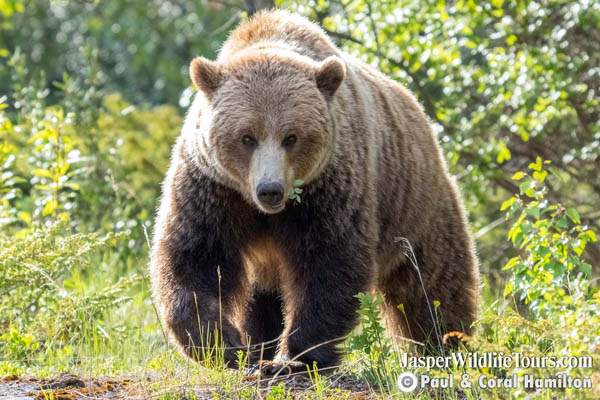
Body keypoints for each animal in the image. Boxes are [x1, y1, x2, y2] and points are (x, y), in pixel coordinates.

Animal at [150, 9, 478, 374]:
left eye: (291, 137)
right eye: (247, 137)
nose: (270, 190)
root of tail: (420, 112)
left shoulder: (329, 189)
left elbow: (328, 264)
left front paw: (298, 356)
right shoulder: (213, 189)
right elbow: (194, 257)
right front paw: (223, 344)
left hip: (415, 206)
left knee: (429, 284)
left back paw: (445, 346)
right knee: (261, 295)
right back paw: (257, 343)